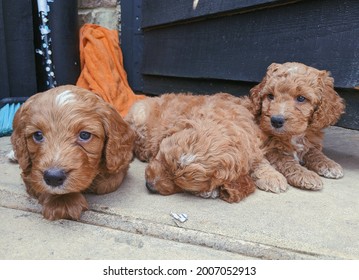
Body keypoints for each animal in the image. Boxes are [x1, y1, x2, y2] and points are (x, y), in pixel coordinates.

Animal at [11, 84, 135, 220]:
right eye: (38, 135)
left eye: (85, 135)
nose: (53, 177)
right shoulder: (29, 172)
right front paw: (62, 200)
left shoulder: (121, 161)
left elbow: (106, 183)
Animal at [250, 62, 346, 190]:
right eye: (270, 96)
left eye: (301, 98)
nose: (276, 121)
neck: (294, 135)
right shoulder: (270, 149)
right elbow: (286, 160)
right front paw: (305, 174)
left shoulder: (310, 142)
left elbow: (315, 153)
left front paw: (329, 164)